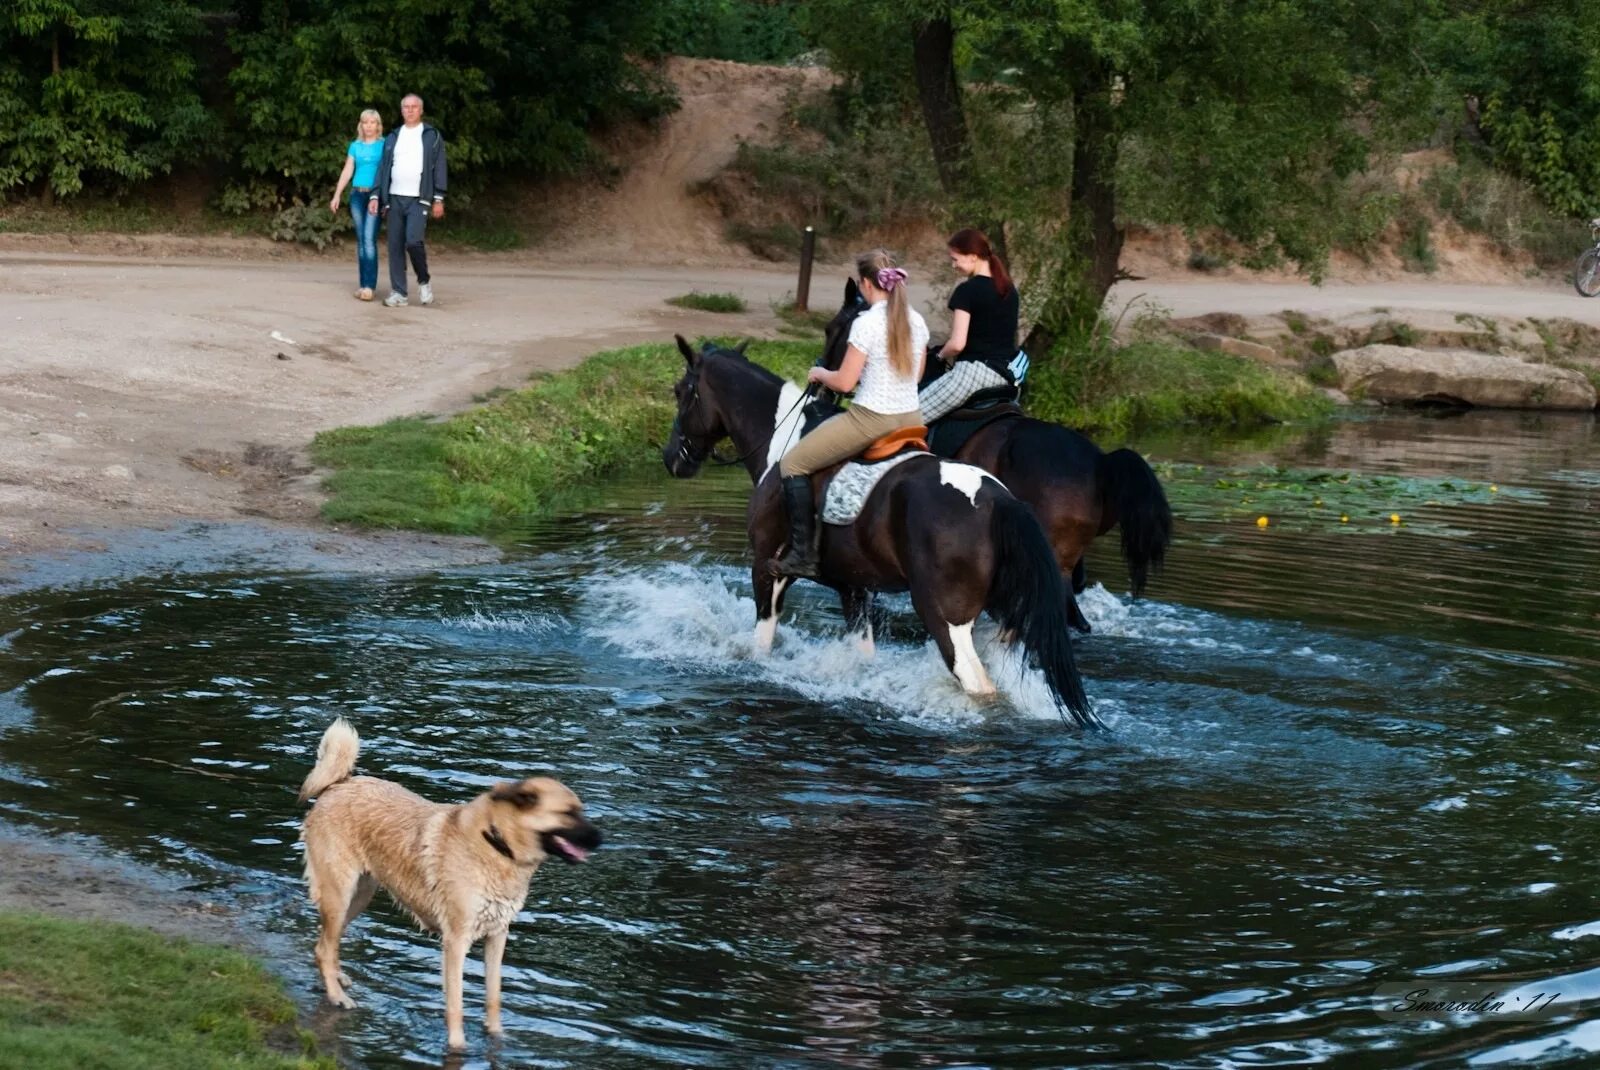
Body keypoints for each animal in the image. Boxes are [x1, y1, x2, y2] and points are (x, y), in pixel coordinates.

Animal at [297, 716, 601, 1049]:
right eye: (568, 813)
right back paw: (338, 996)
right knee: (325, 947)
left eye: (579, 811)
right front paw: (458, 1047)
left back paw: (337, 979)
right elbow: (455, 1004)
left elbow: (494, 996)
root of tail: (339, 784)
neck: (497, 845)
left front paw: (496, 1035)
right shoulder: (456, 941)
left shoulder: (497, 936)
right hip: (339, 895)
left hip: (358, 897)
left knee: (325, 945)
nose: (602, 839)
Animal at [656, 331, 1094, 726]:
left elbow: (762, 646)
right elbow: (862, 655)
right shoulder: (854, 587)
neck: (784, 439)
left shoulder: (767, 569)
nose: (672, 459)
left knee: (978, 685)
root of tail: (998, 501)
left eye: (680, 391)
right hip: (1007, 615)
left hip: (945, 618)